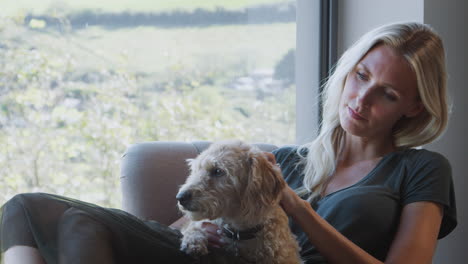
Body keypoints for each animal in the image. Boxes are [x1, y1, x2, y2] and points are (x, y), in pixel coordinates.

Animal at [176, 140, 304, 264]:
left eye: (218, 171)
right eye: (195, 170)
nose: (180, 197)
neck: (237, 231)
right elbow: (194, 227)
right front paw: (193, 240)